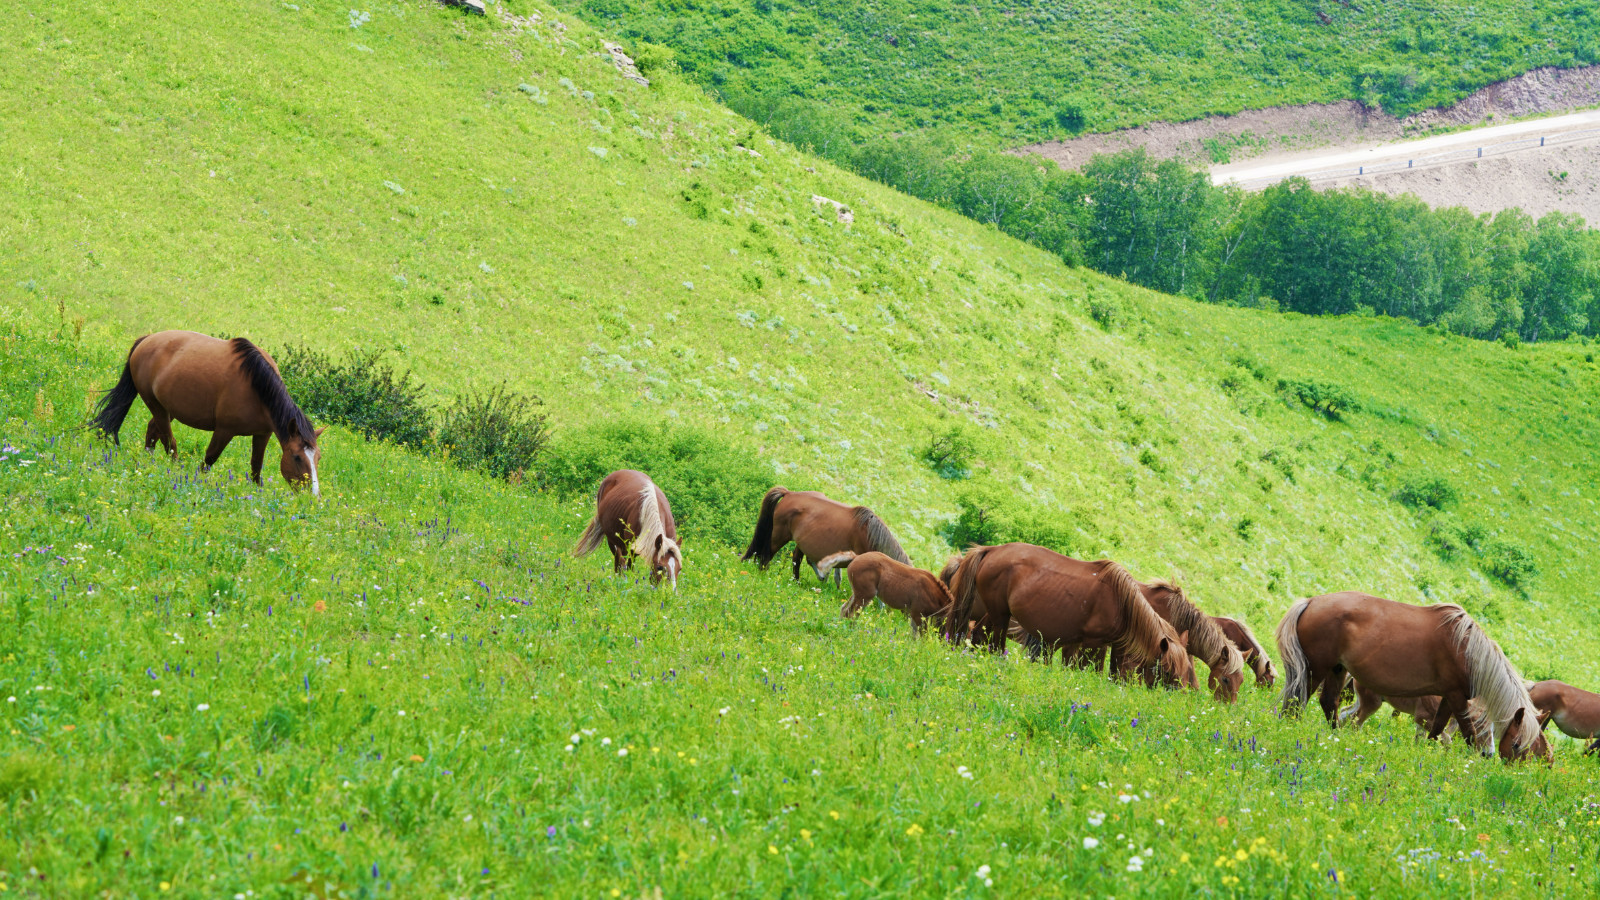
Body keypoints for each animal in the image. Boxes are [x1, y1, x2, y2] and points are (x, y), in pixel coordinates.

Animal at [90, 329, 324, 490]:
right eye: (297, 457)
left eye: (318, 458)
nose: (313, 497)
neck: (258, 387)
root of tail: (147, 339)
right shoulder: (224, 430)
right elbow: (209, 460)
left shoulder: (262, 434)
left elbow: (256, 467)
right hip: (155, 405)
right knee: (168, 441)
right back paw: (174, 470)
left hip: (167, 408)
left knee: (153, 432)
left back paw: (149, 461)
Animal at [739, 486, 908, 576]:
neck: (868, 534)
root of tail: (789, 493)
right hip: (778, 536)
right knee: (767, 555)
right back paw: (763, 574)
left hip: (800, 542)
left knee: (796, 559)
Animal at [819, 550, 953, 634]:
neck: (932, 593)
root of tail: (856, 557)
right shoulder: (917, 614)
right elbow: (922, 635)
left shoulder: (916, 615)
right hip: (865, 595)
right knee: (850, 613)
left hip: (858, 593)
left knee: (844, 608)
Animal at [940, 544, 1196, 688]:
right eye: (1167, 671)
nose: (1179, 695)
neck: (1122, 603)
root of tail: (992, 550)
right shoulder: (1092, 643)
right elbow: (1083, 670)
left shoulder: (1112, 646)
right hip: (1000, 615)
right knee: (994, 644)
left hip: (995, 614)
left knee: (979, 636)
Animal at [1273, 592, 1548, 759]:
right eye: (1516, 744)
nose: (1490, 757)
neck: (1467, 650)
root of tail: (1311, 602)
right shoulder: (1457, 697)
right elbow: (1466, 733)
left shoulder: (1448, 697)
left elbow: (1435, 731)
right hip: (1316, 668)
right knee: (1298, 702)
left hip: (1337, 670)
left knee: (1329, 703)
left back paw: (1335, 737)